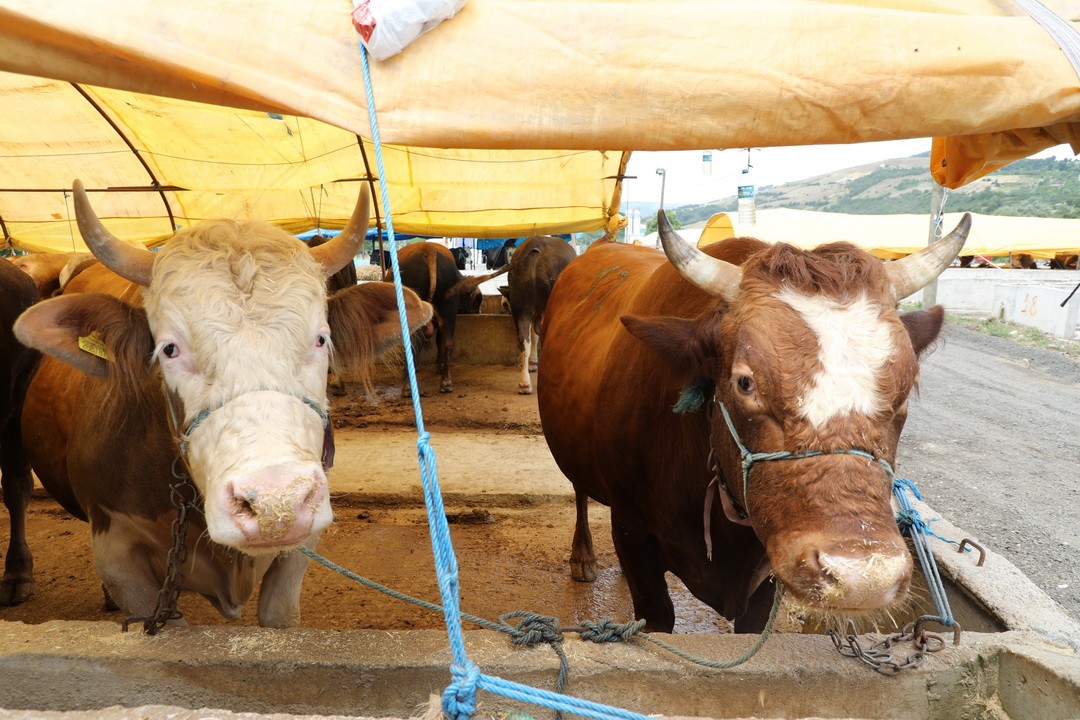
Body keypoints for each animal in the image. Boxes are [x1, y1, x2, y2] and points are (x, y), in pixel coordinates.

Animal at [388, 240, 505, 395]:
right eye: (476, 300)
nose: (477, 312)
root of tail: (429, 249)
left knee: (414, 344)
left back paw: (408, 385)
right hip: (448, 310)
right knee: (447, 343)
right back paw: (446, 382)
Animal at [498, 235, 583, 395]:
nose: (505, 304)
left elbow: (533, 335)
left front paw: (533, 363)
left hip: (521, 306)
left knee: (523, 340)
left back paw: (524, 384)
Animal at [540, 211, 972, 634]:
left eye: (907, 387)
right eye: (745, 382)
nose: (861, 578)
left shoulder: (766, 577)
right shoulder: (634, 537)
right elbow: (656, 618)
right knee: (579, 491)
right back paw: (583, 557)